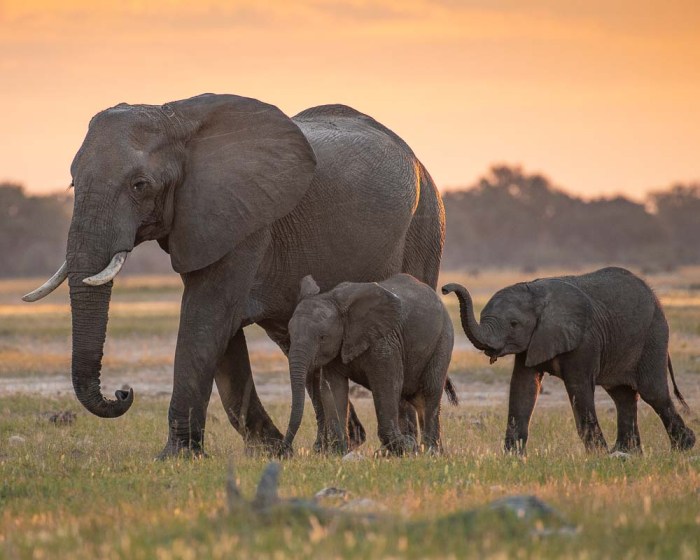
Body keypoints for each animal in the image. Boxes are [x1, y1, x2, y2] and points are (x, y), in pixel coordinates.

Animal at [282, 274, 456, 456]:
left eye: (322, 337)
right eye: (290, 335)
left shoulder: (384, 341)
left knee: (429, 393)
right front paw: (338, 454)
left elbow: (386, 384)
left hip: (443, 339)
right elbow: (332, 389)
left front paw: (407, 446)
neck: (332, 299)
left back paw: (430, 452)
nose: (285, 450)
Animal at [442, 266, 696, 456]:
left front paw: (597, 455)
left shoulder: (585, 340)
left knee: (653, 393)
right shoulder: (534, 341)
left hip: (654, 334)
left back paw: (684, 447)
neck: (535, 291)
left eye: (514, 324)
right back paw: (627, 453)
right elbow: (523, 387)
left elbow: (579, 388)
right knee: (622, 395)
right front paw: (513, 457)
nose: (445, 288)